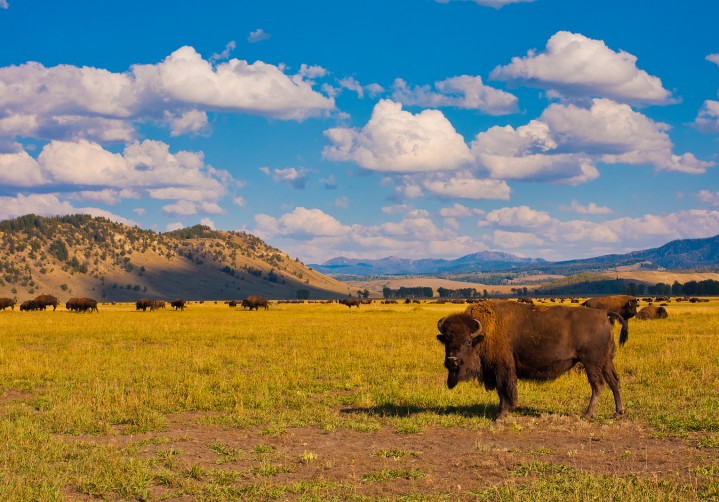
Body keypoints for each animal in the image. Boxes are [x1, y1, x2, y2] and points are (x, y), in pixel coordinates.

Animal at [436, 300, 627, 421]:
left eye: (468, 341)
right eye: (447, 340)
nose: (452, 360)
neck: (483, 333)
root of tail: (603, 314)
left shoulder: (502, 368)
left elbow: (504, 390)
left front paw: (500, 415)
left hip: (591, 363)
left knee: (598, 384)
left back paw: (586, 415)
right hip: (605, 362)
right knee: (614, 382)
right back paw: (618, 413)